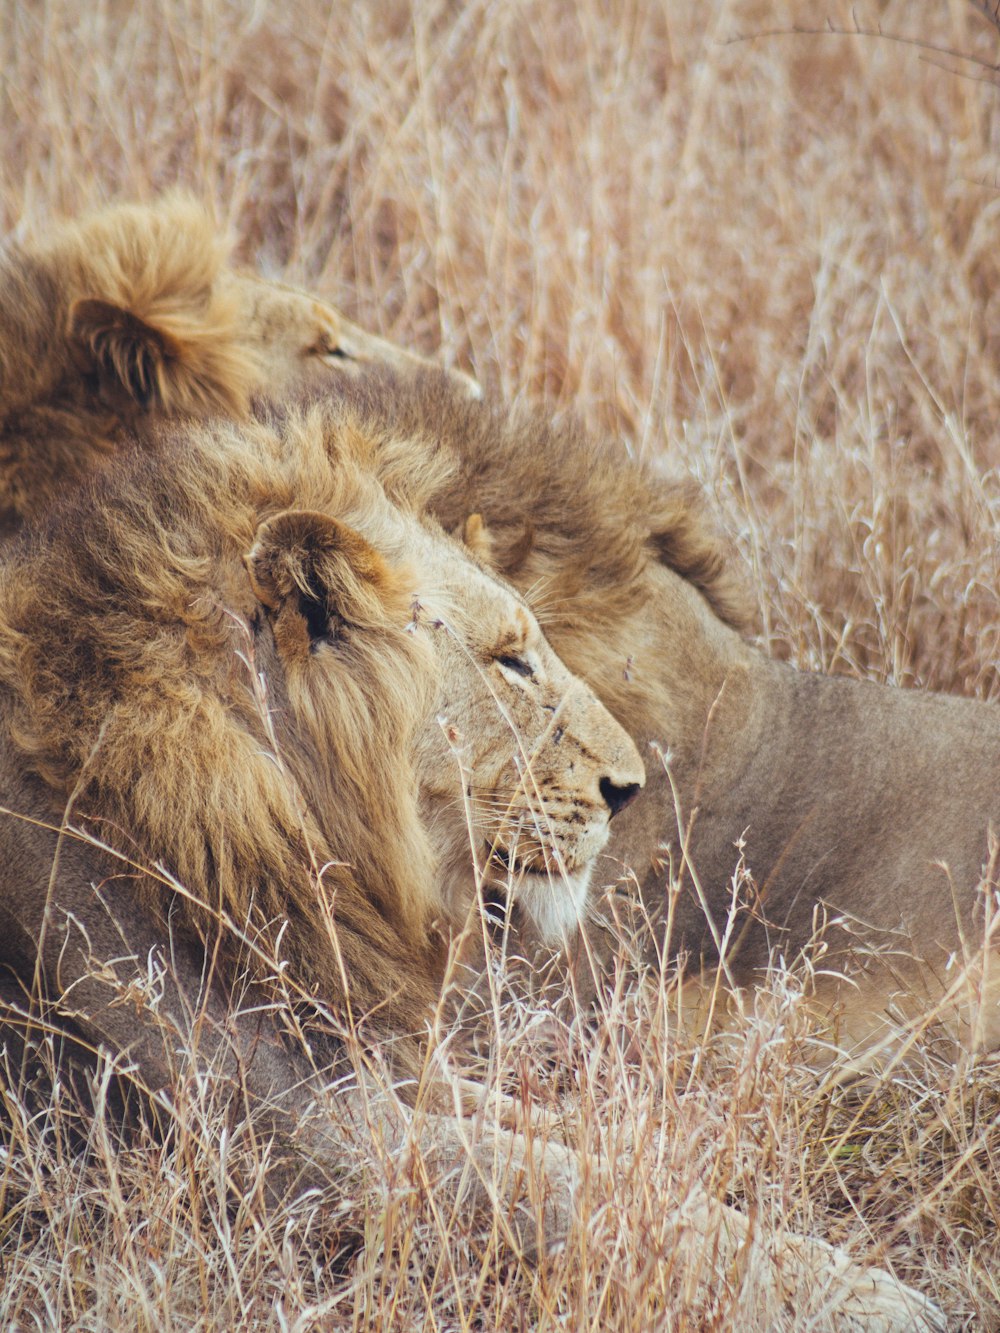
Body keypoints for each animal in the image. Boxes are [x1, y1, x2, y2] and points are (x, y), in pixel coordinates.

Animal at [0, 386, 944, 1322]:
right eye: (512, 661)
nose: (631, 787)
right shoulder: (298, 1134)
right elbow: (566, 1184)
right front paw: (856, 1292)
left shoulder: (370, 1056)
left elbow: (566, 1129)